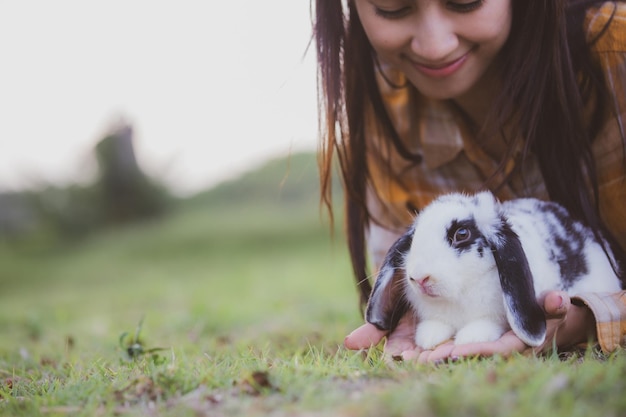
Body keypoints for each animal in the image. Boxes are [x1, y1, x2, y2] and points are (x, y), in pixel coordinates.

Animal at [364, 191, 620, 348]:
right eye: (415, 236)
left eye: (462, 234)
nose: (419, 278)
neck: (459, 295)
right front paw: (429, 337)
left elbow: (488, 323)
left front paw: (470, 338)